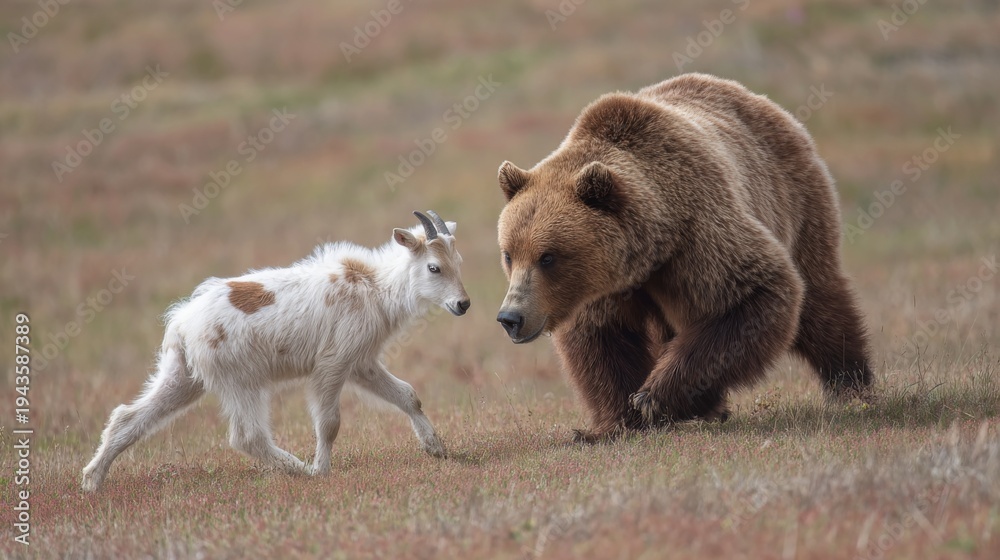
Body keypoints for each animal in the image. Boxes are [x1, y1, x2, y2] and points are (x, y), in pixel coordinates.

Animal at [82, 211, 469, 492]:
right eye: (434, 267)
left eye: (458, 262)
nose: (463, 304)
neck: (374, 285)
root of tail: (181, 325)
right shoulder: (332, 364)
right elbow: (329, 422)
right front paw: (322, 470)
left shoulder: (361, 362)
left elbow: (408, 395)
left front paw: (436, 448)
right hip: (242, 382)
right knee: (247, 436)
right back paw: (299, 469)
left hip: (183, 377)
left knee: (128, 418)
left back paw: (91, 482)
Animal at [494, 73, 873, 442]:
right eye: (509, 254)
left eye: (548, 257)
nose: (510, 317)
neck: (650, 250)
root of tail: (755, 98)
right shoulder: (601, 289)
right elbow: (604, 342)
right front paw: (614, 423)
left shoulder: (699, 236)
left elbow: (749, 294)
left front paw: (654, 397)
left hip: (796, 202)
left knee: (821, 300)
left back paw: (851, 385)